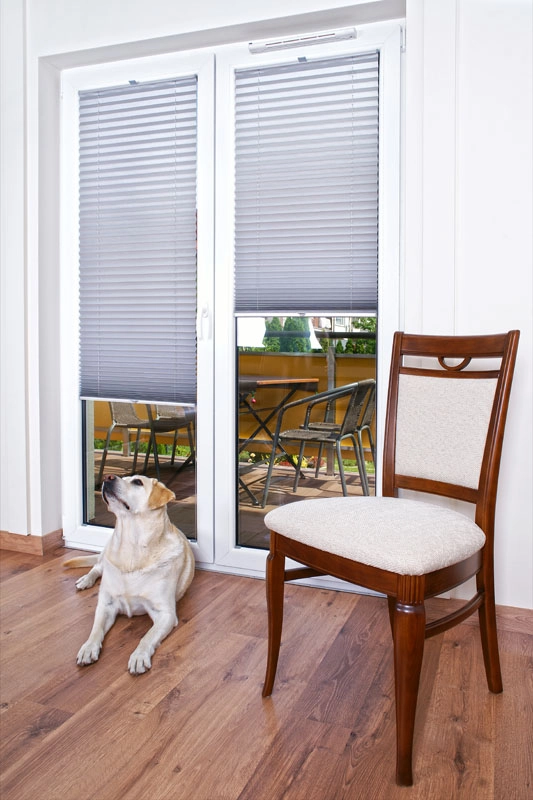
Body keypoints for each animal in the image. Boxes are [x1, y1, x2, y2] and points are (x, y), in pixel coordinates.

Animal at [64, 474, 195, 674]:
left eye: (137, 482)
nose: (108, 476)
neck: (132, 548)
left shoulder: (166, 614)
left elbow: (147, 636)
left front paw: (139, 656)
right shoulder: (106, 605)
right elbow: (96, 629)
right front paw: (88, 647)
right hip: (105, 555)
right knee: (97, 567)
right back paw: (86, 580)